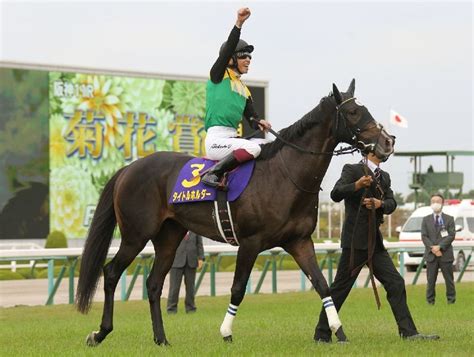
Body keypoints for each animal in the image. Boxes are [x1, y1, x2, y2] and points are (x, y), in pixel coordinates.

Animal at [76, 80, 394, 344]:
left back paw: (161, 339)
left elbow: (323, 285)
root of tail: (128, 168)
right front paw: (226, 332)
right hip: (136, 235)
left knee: (154, 284)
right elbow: (238, 288)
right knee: (111, 272)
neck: (285, 175)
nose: (388, 141)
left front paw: (338, 331)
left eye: (364, 109)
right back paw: (100, 333)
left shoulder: (299, 241)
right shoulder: (250, 242)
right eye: (353, 112)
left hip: (169, 236)